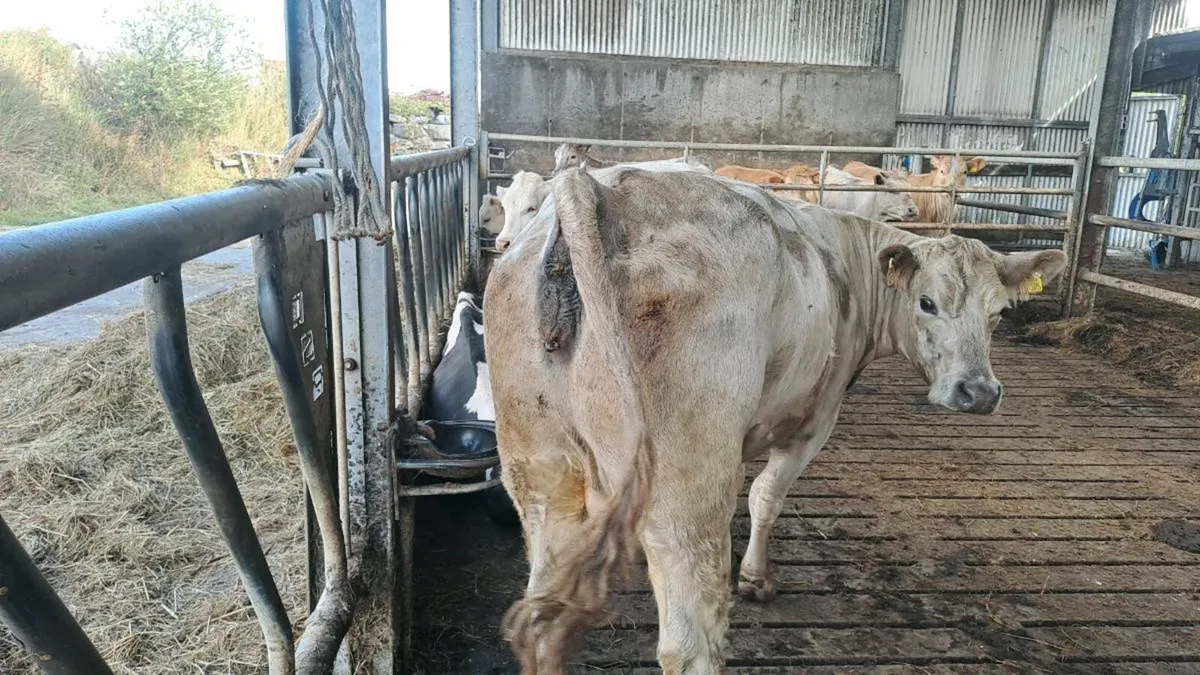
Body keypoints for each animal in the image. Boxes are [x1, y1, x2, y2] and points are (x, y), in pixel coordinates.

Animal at [484, 165, 1066, 674]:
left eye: (998, 313)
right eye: (927, 303)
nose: (979, 392)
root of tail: (601, 187)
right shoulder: (815, 418)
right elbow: (766, 495)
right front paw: (755, 579)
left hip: (538, 468)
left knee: (541, 617)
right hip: (685, 484)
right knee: (689, 641)